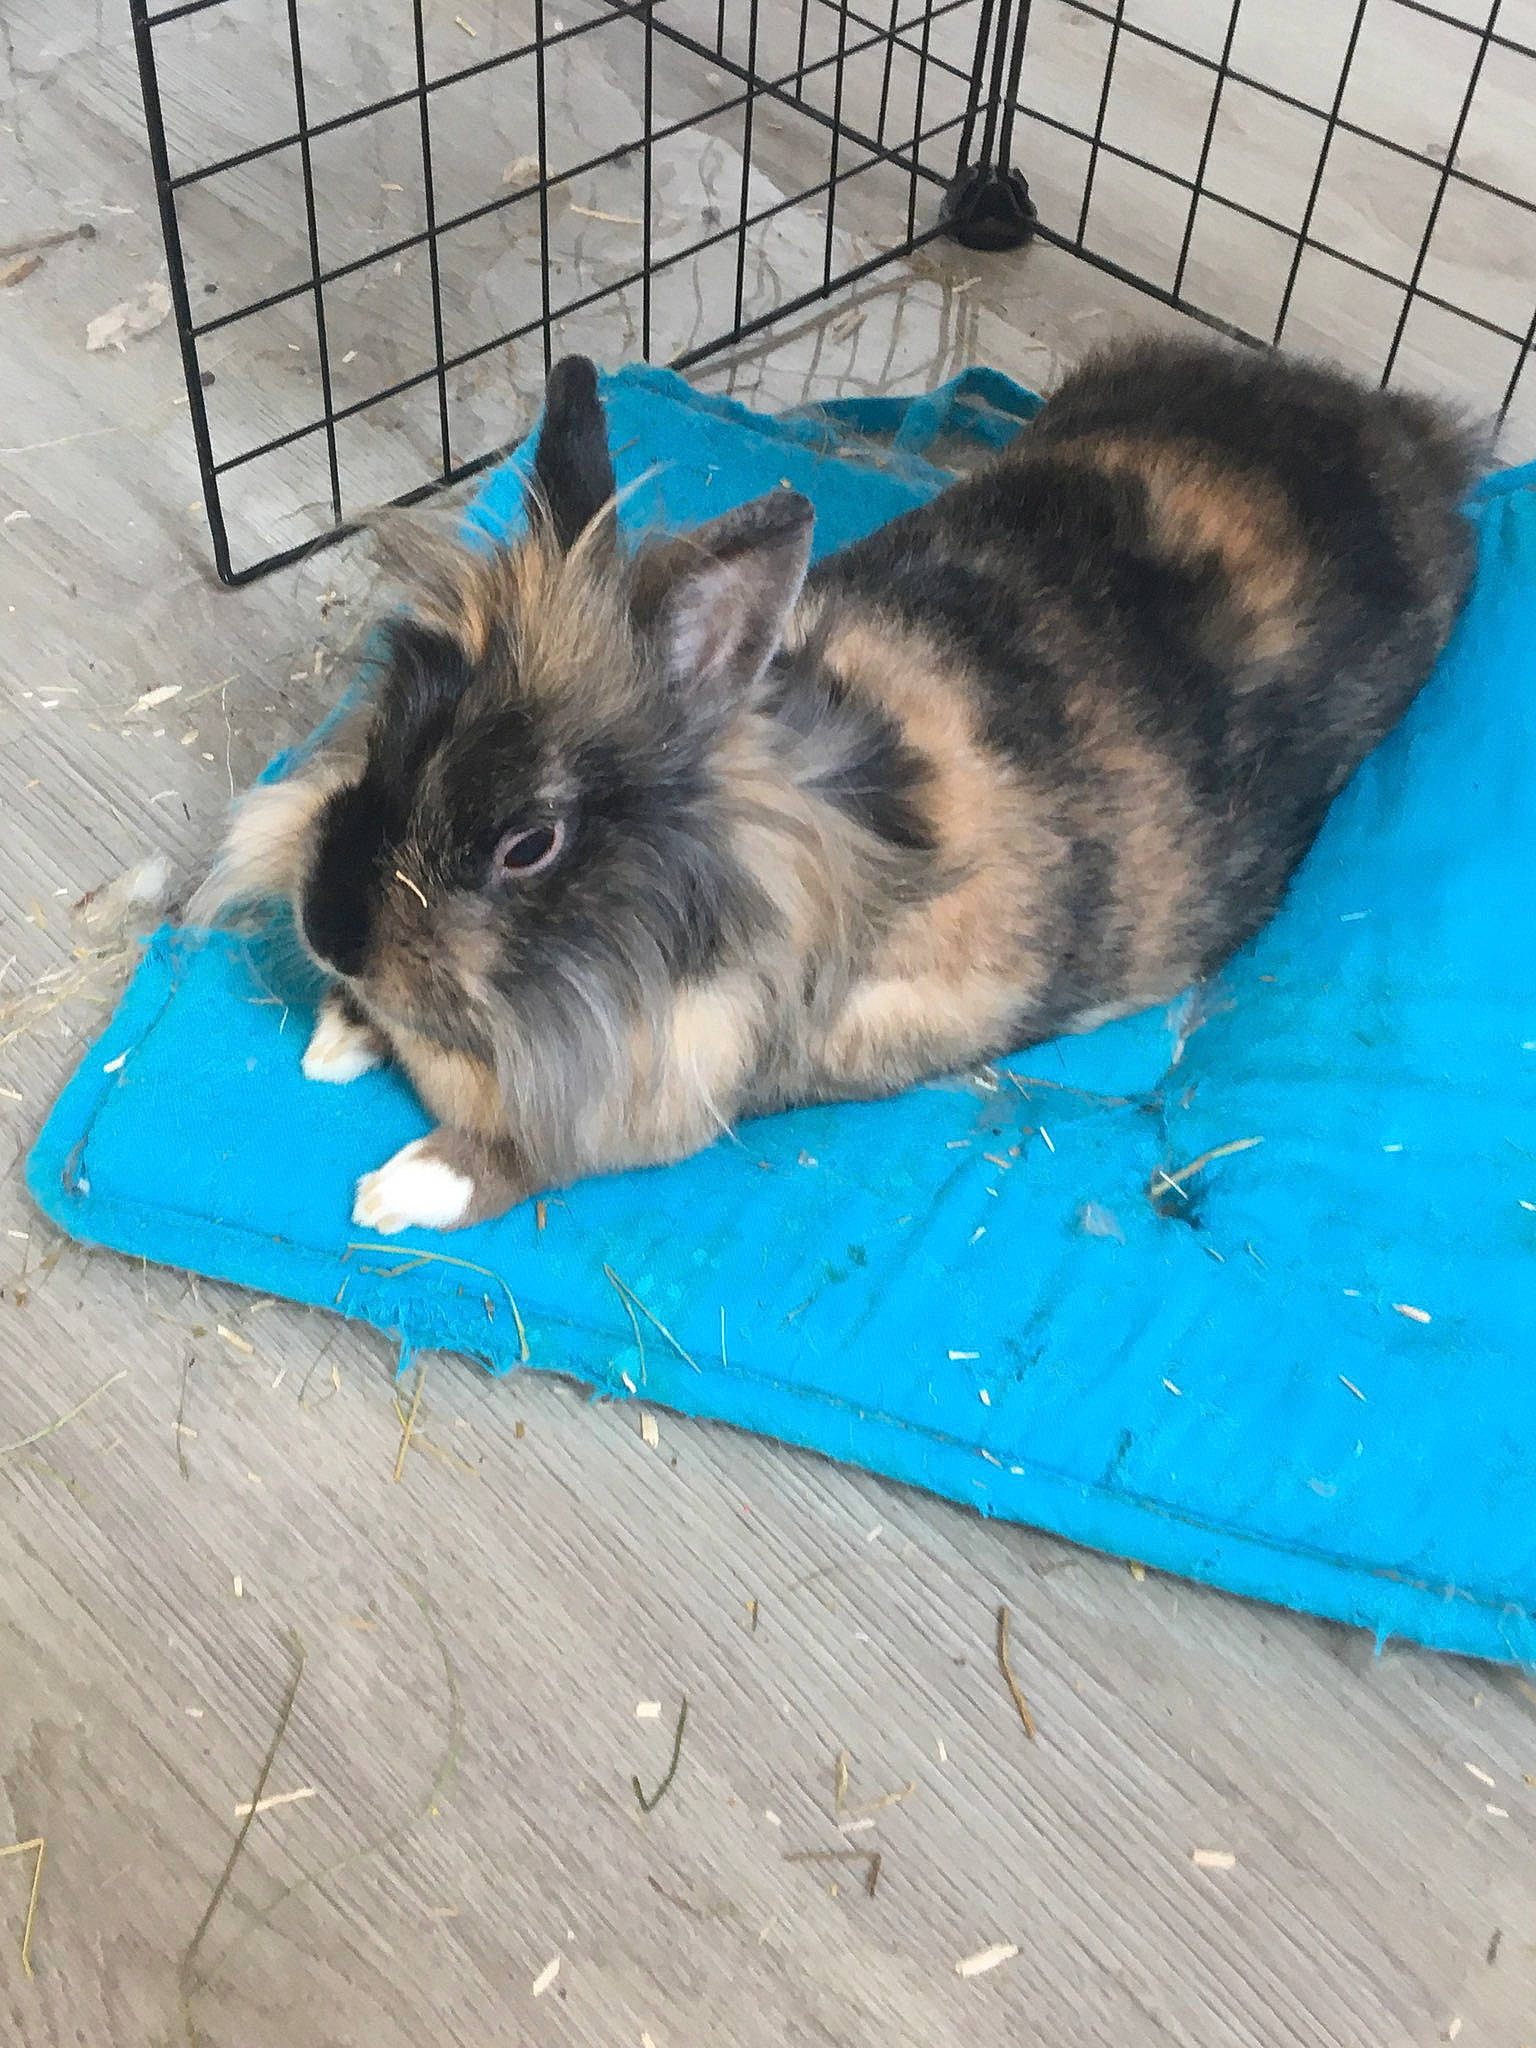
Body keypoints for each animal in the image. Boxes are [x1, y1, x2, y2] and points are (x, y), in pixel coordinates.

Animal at [192, 339, 1479, 1234]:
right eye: (390, 727)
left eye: (529, 844)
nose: (331, 929)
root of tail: (1407, 437)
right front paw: (339, 1035)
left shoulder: (678, 1084)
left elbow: (546, 1150)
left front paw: (404, 1190)